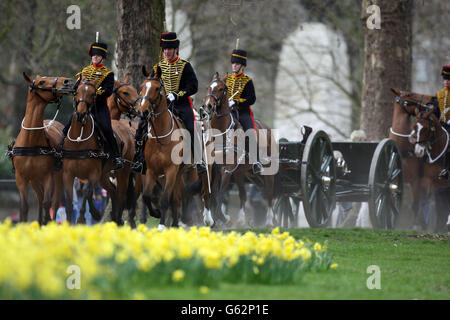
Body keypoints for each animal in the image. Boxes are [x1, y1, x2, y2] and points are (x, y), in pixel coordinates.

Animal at [8, 72, 74, 224]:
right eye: (42, 82)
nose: (67, 82)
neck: (31, 141)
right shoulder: (21, 178)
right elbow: (24, 206)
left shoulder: (47, 175)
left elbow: (47, 203)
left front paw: (46, 223)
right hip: (34, 179)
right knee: (39, 197)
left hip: (59, 175)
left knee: (54, 202)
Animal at [61, 77, 135, 228]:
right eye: (76, 92)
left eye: (92, 94)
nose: (81, 114)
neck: (79, 140)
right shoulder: (68, 174)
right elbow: (69, 199)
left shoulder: (94, 173)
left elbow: (87, 191)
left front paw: (83, 218)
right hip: (105, 176)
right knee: (113, 191)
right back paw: (115, 217)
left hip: (123, 172)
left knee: (121, 194)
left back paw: (118, 218)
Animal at [138, 65, 192, 230]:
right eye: (142, 87)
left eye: (157, 88)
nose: (143, 112)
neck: (161, 137)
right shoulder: (151, 170)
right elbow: (147, 195)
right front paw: (155, 213)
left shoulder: (171, 170)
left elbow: (166, 198)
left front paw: (162, 225)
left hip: (179, 173)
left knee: (176, 197)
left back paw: (174, 223)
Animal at [202, 72, 276, 228]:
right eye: (208, 87)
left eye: (221, 89)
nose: (208, 106)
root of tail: (267, 128)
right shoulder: (216, 168)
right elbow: (214, 193)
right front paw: (218, 219)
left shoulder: (227, 169)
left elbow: (221, 193)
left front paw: (219, 219)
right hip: (242, 173)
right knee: (243, 195)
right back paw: (241, 221)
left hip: (268, 171)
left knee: (269, 194)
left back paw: (269, 221)